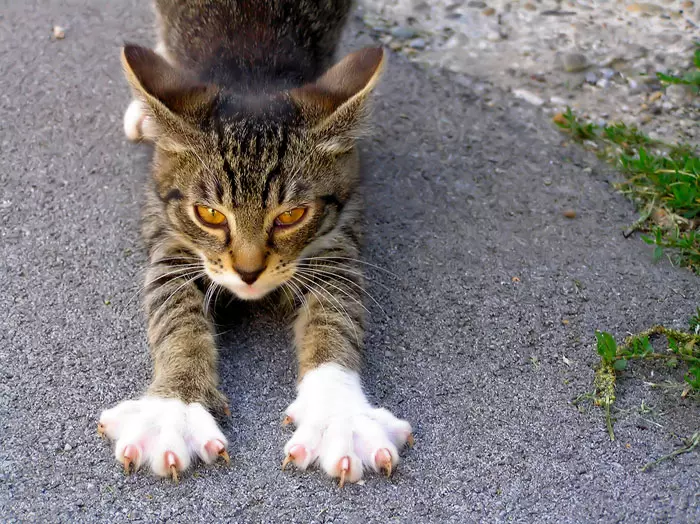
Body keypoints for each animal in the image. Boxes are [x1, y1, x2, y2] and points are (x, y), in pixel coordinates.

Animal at [99, 1, 416, 488]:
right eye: (210, 214)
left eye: (291, 216)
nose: (248, 272)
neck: (252, 72)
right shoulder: (168, 236)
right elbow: (175, 314)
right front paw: (174, 406)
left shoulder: (338, 238)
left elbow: (336, 315)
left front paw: (339, 415)